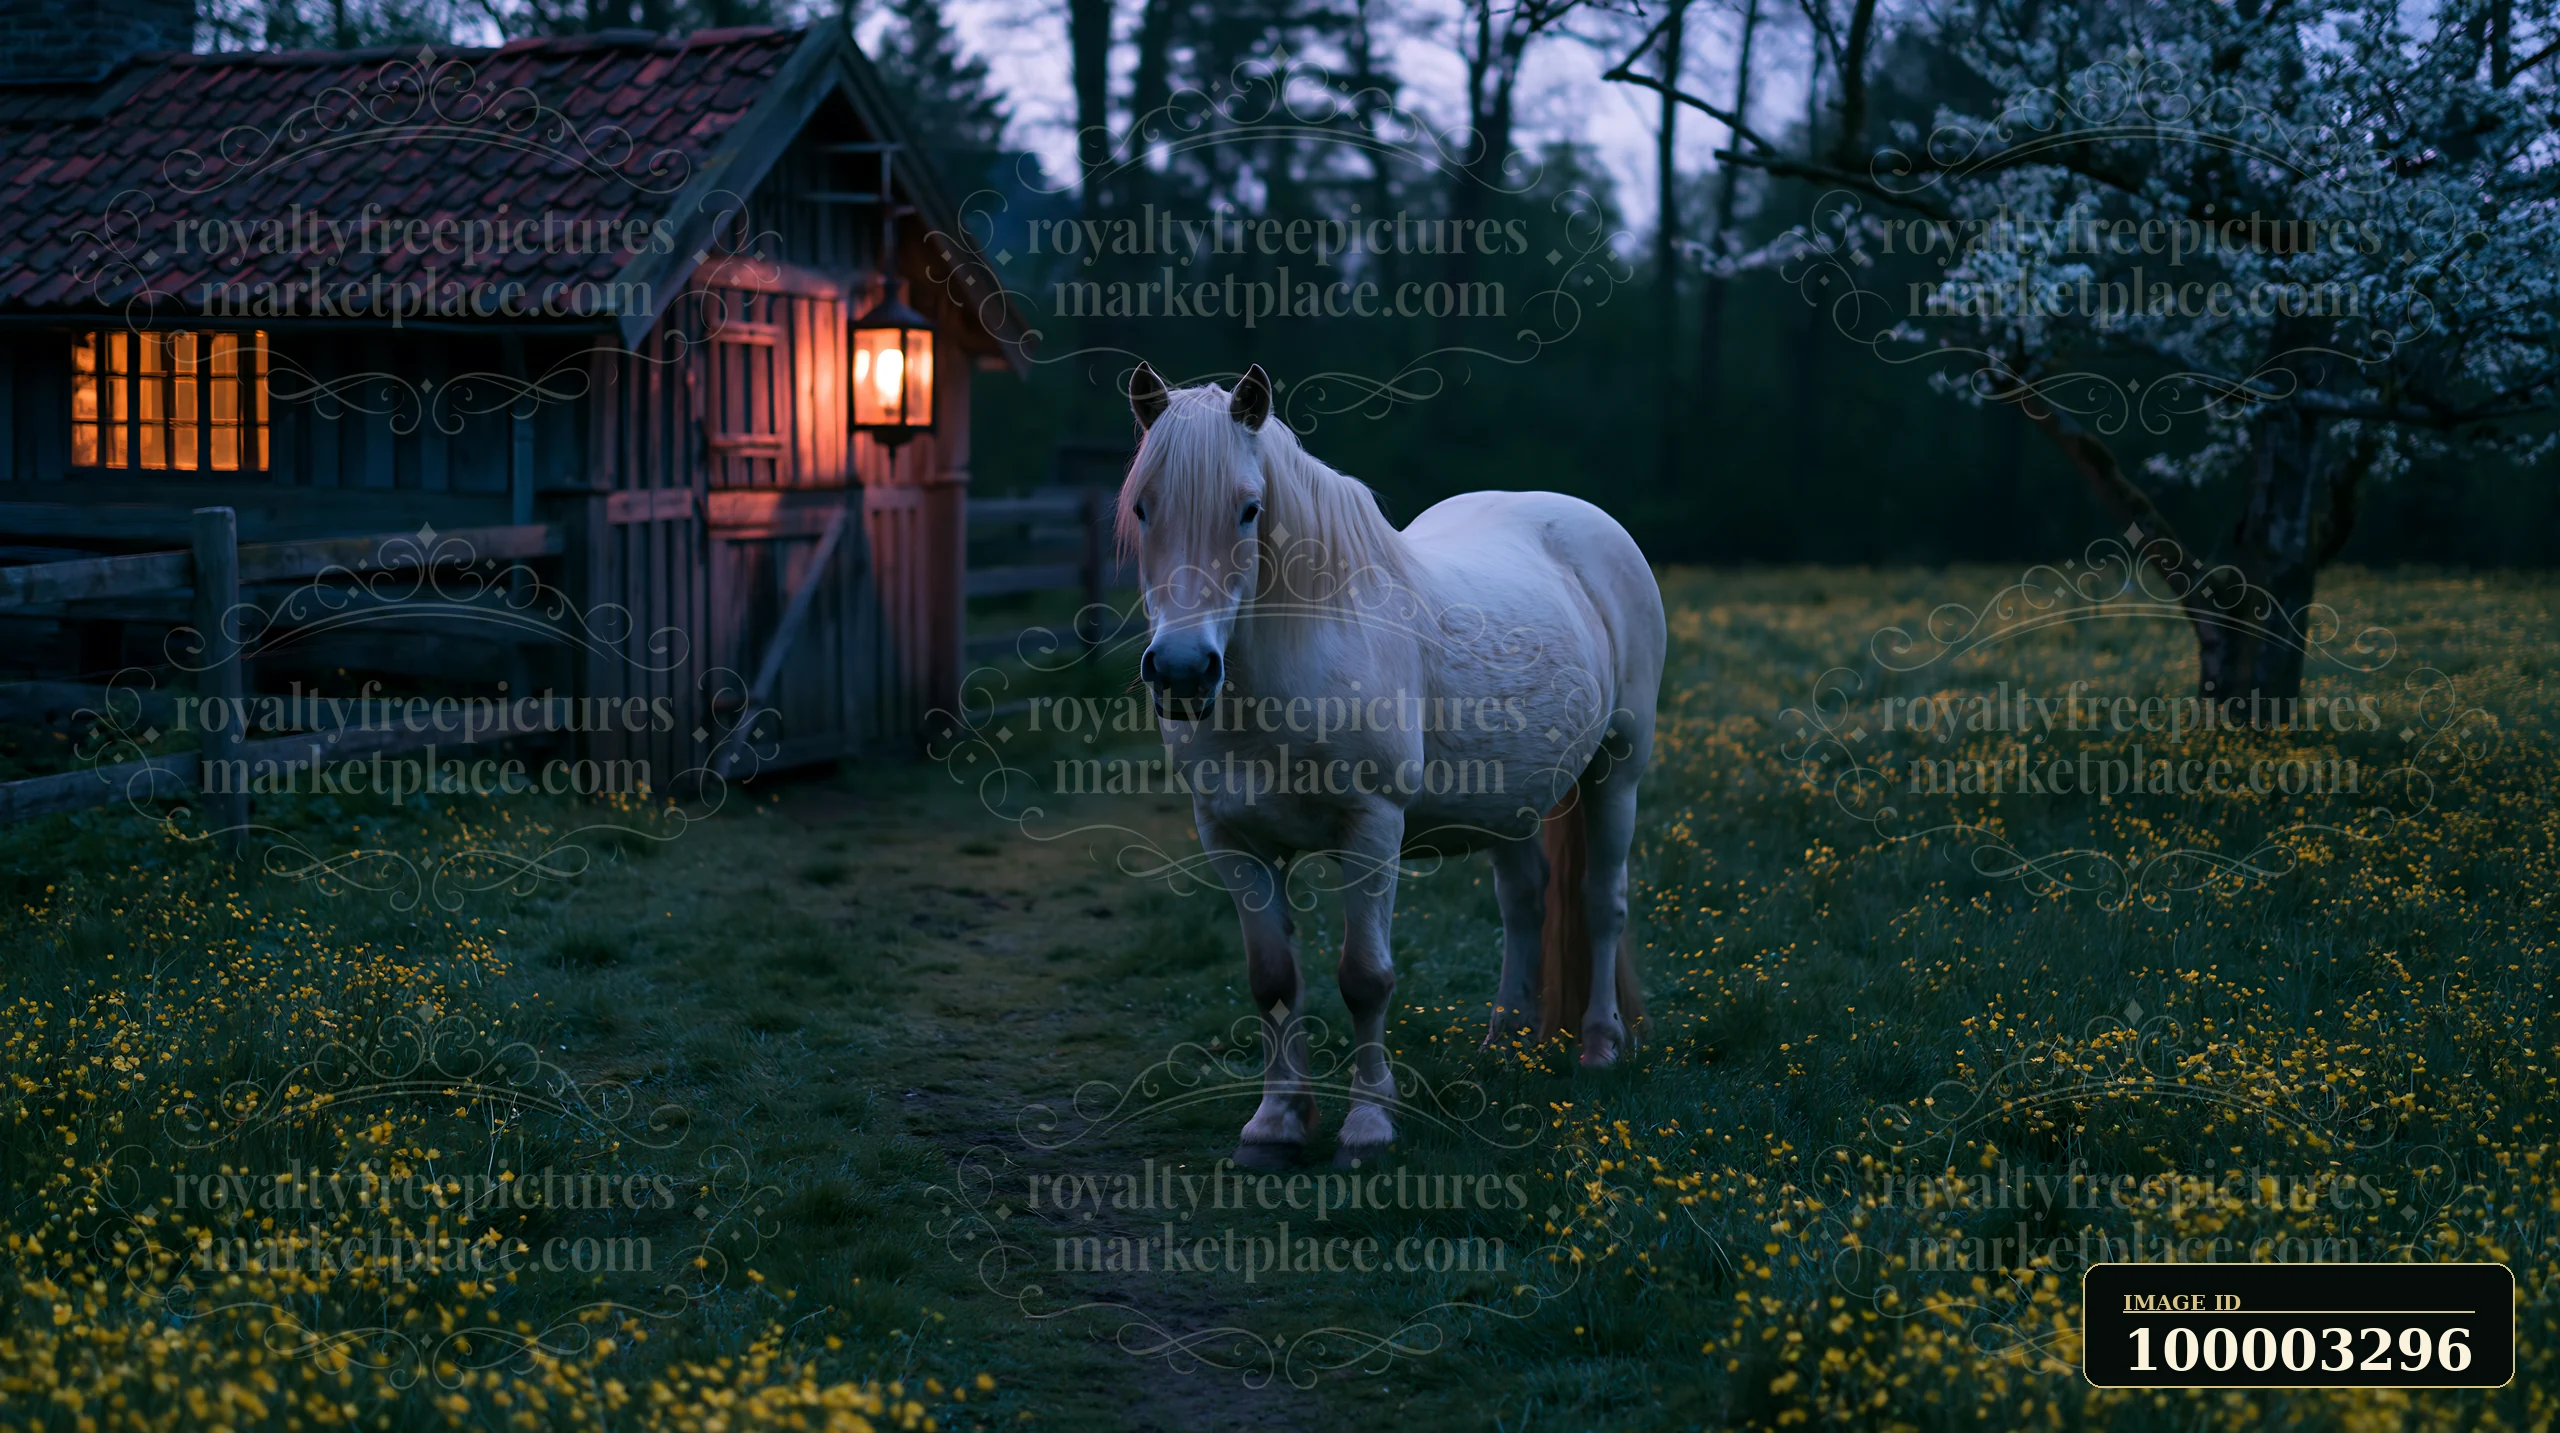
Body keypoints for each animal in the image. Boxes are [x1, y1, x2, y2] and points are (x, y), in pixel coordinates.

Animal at [1118, 361, 1666, 1164]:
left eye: (1249, 510)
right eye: (1142, 507)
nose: (1184, 673)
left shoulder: (1371, 829)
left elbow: (1365, 979)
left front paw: (1368, 1125)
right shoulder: (1233, 838)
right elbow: (1271, 978)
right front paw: (1275, 1125)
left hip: (1616, 773)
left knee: (1601, 902)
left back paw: (1598, 1048)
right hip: (1509, 801)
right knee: (1526, 901)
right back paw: (1505, 1046)